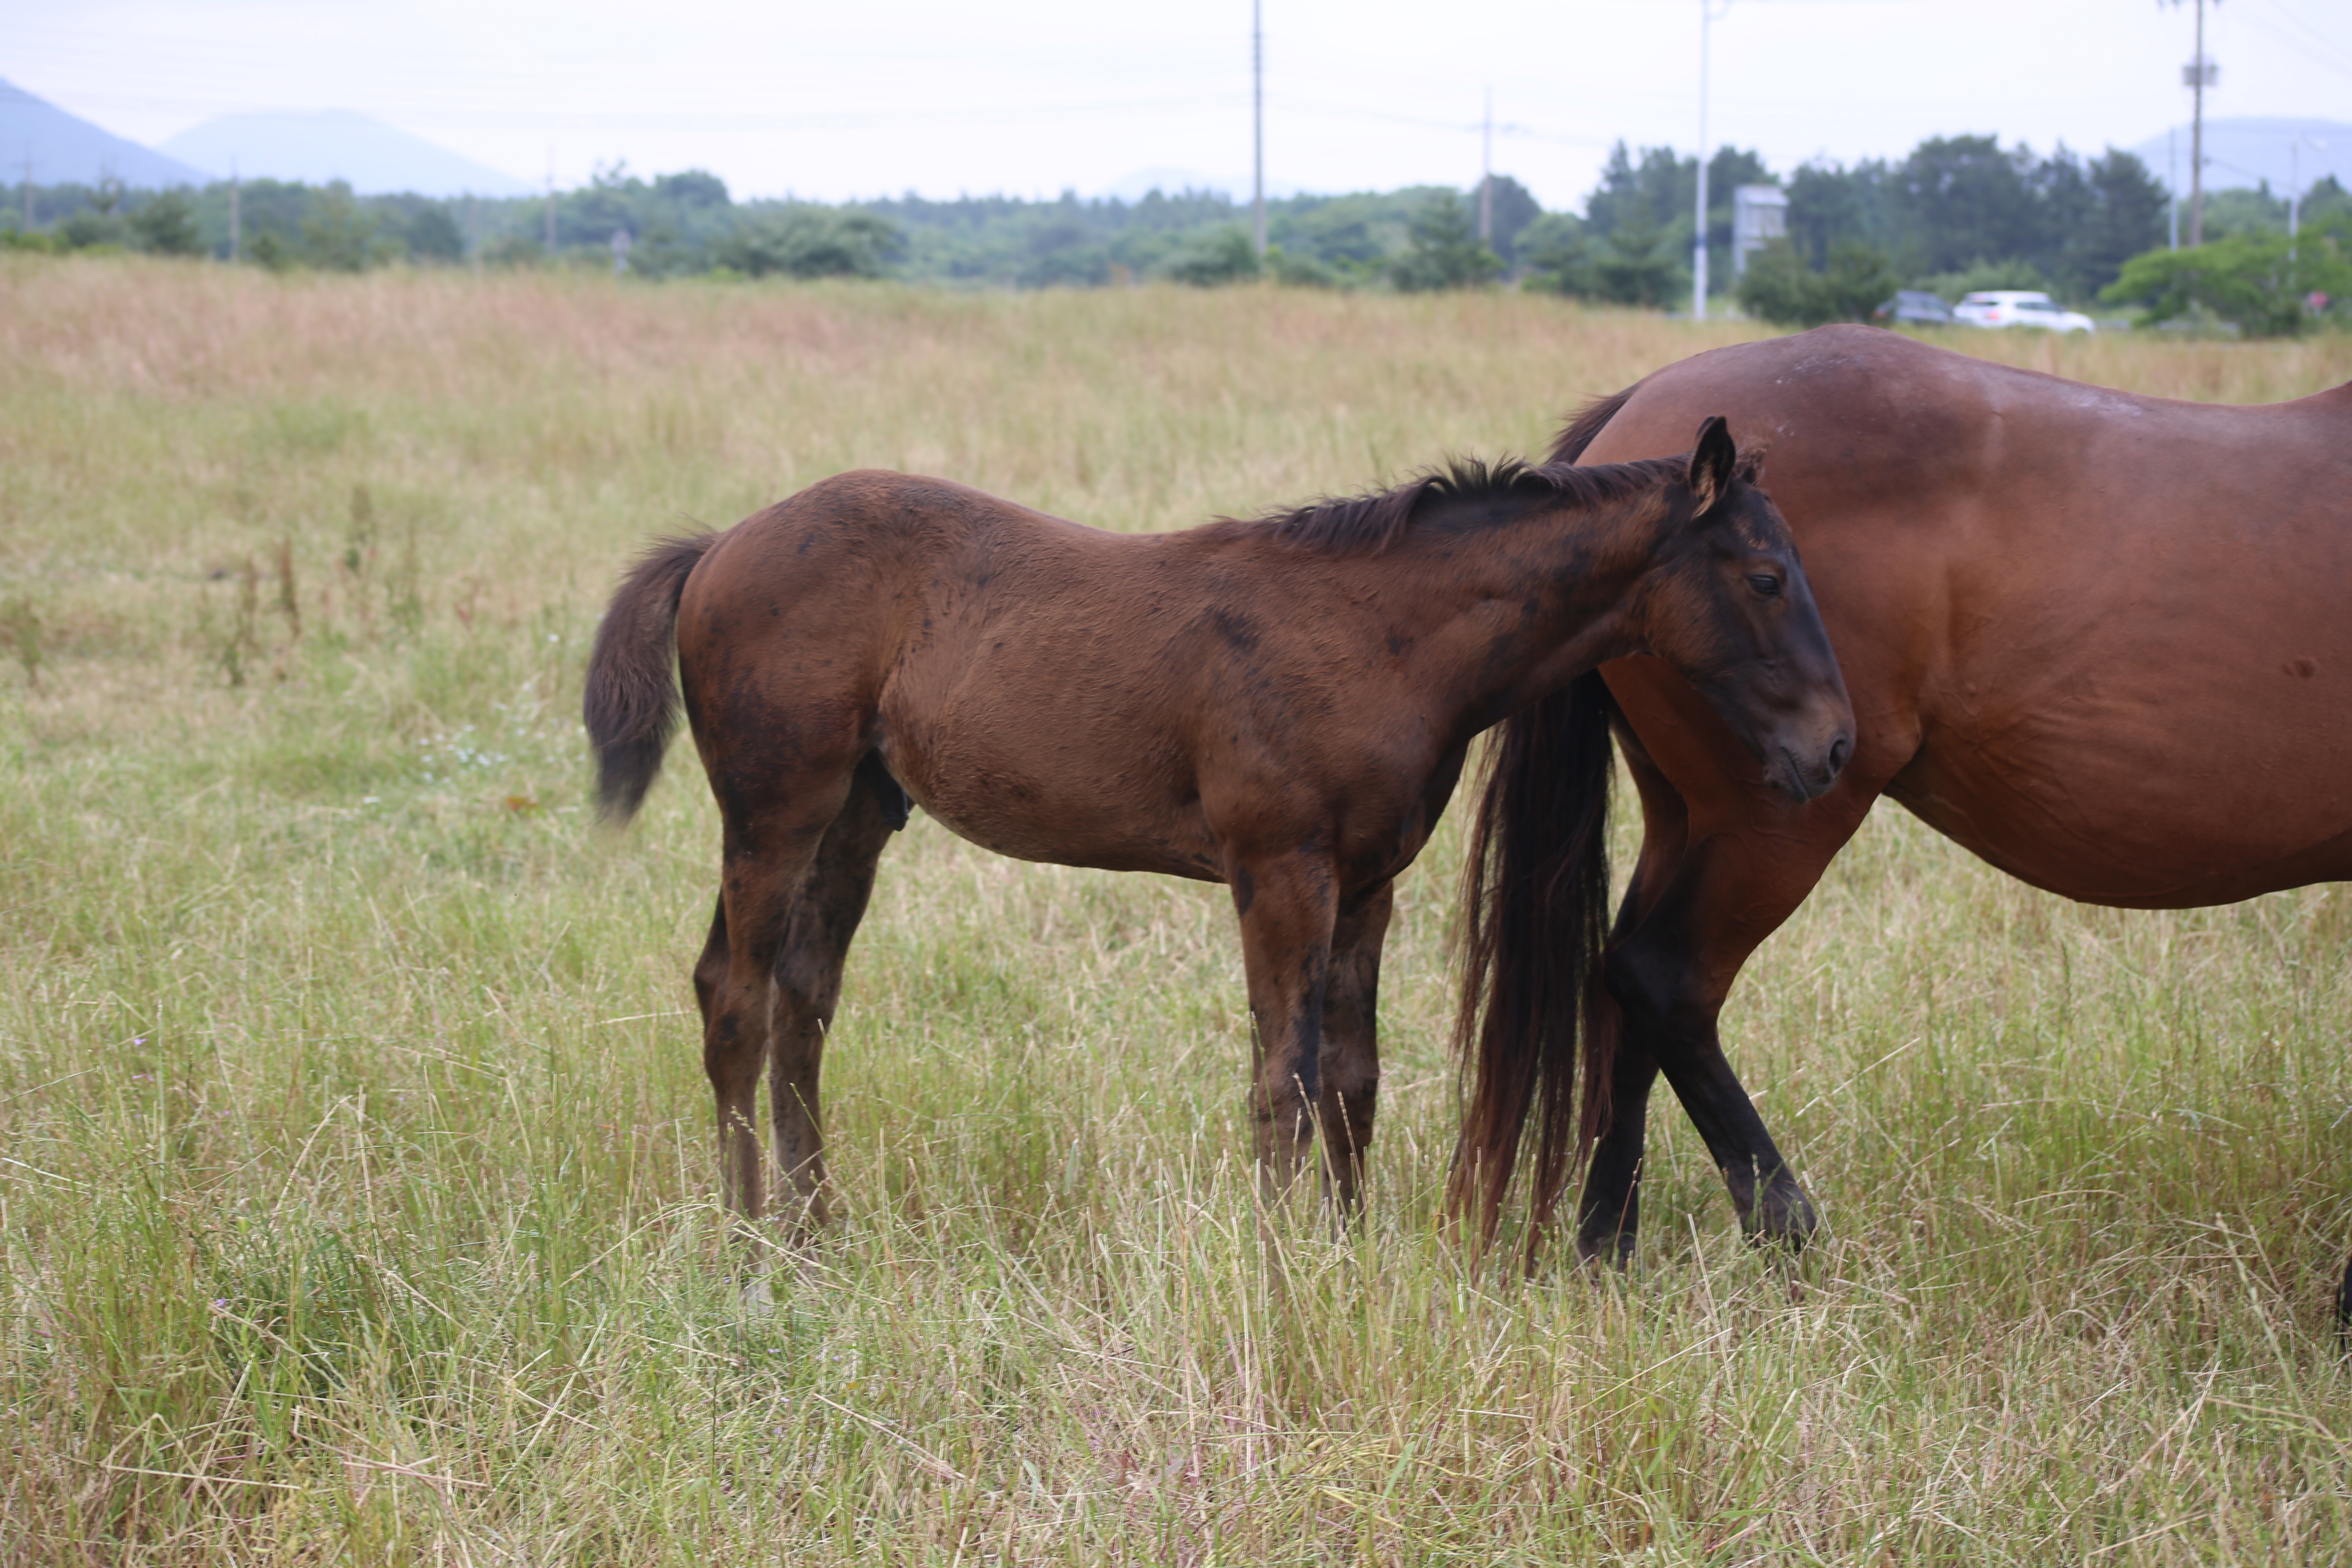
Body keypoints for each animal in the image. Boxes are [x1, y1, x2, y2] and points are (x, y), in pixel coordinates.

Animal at [588, 423, 1853, 1241]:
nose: (1835, 746)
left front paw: (1346, 1251)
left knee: (801, 997)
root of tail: (718, 545)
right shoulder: (1278, 870)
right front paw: (1278, 1258)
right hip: (775, 808)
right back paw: (749, 1235)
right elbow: (1281, 1075)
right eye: (1763, 574)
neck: (1381, 635)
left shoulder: (1370, 880)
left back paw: (818, 1222)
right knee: (736, 995)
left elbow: (1351, 1073)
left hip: (858, 810)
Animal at [1458, 331, 2352, 1326]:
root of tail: (1638, 404)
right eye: (1768, 578)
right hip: (1776, 825)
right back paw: (1782, 1228)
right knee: (1665, 980)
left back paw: (1607, 1248)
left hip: (1686, 819)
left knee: (1622, 988)